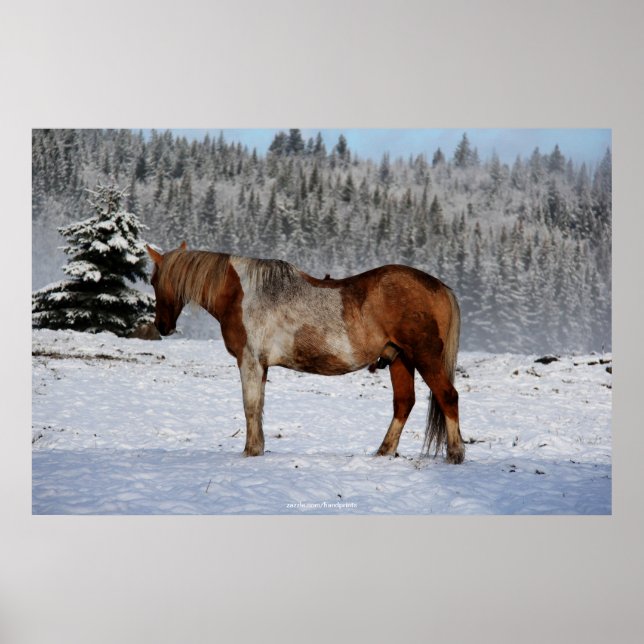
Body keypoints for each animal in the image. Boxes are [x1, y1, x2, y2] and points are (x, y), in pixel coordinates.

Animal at [146, 242, 465, 464]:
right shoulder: (261, 365)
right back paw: (383, 452)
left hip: (424, 357)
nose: (161, 326)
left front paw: (250, 451)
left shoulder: (249, 361)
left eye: (153, 281)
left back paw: (455, 454)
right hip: (400, 359)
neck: (241, 294)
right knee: (403, 403)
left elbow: (250, 407)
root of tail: (440, 287)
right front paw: (258, 448)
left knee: (447, 396)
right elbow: (259, 407)